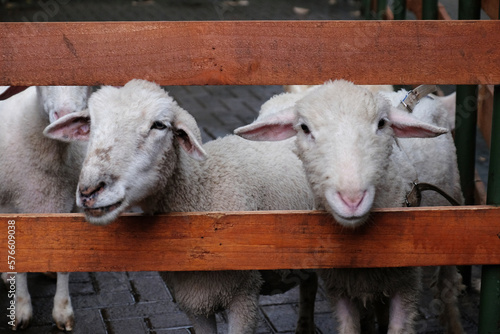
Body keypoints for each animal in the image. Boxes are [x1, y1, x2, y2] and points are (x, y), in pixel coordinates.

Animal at [235, 79, 464, 332]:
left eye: (382, 123)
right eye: (304, 128)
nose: (352, 199)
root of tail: (409, 95)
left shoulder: (407, 285)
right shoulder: (340, 288)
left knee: (449, 285)